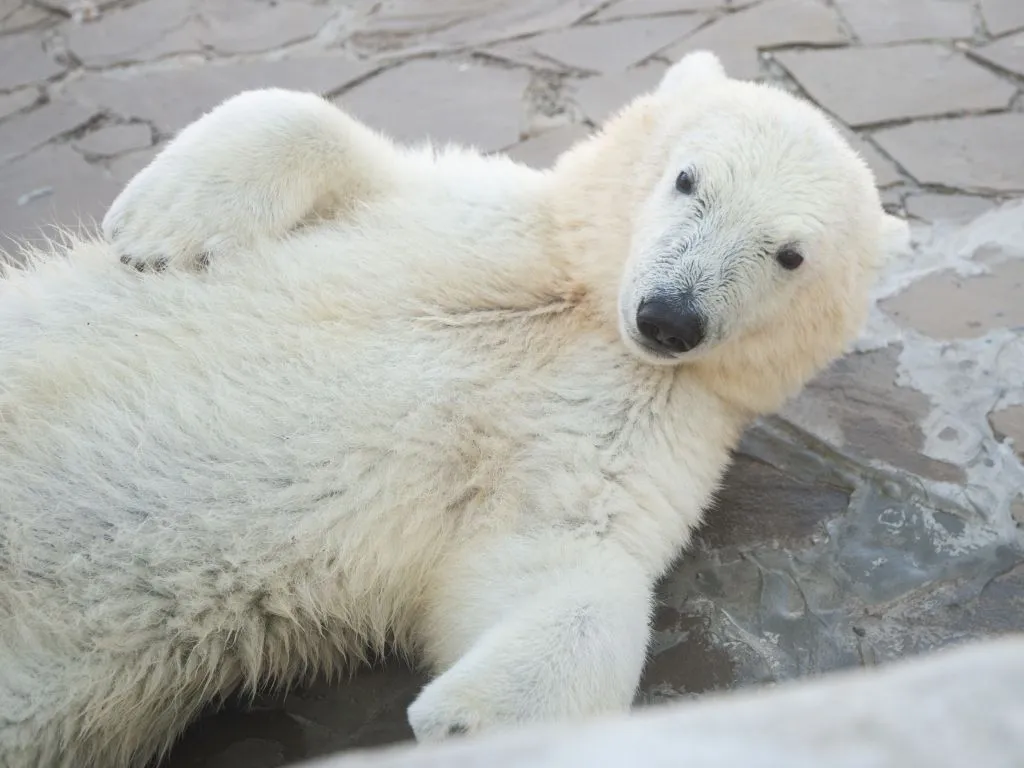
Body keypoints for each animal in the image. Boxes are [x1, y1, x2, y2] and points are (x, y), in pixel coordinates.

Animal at [0, 52, 892, 768]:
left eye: (790, 254)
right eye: (688, 178)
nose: (670, 318)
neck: (584, 306)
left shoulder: (656, 419)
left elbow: (561, 554)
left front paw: (473, 726)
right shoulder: (476, 214)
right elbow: (329, 133)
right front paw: (161, 225)